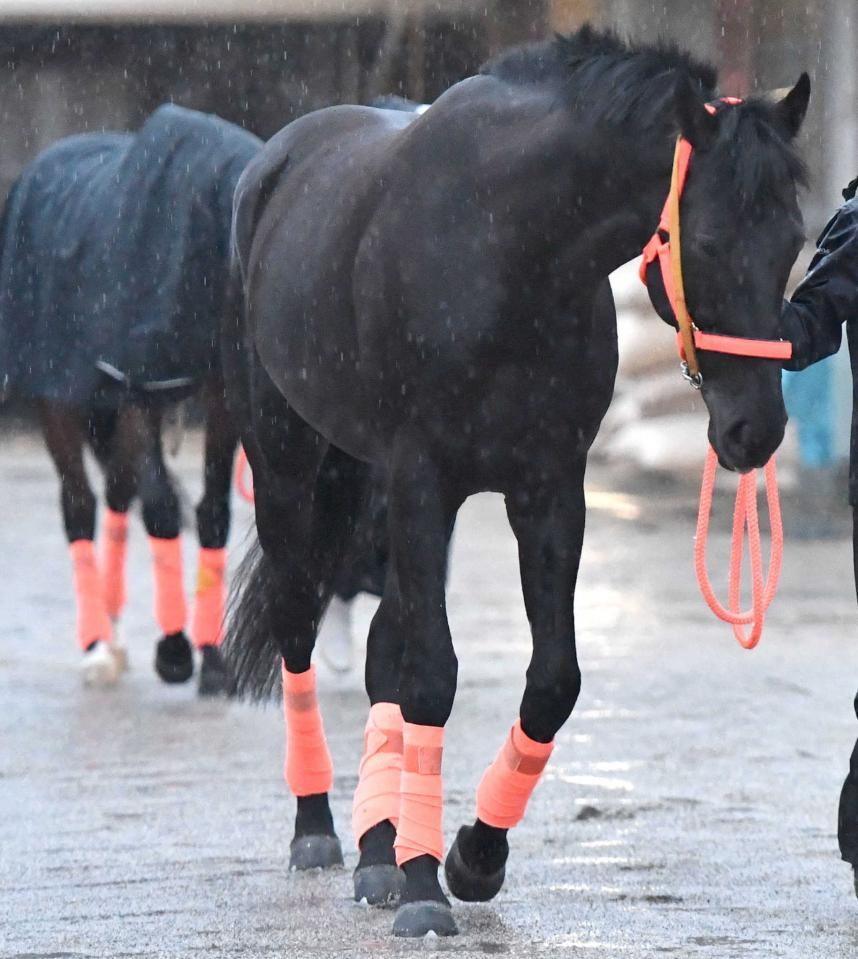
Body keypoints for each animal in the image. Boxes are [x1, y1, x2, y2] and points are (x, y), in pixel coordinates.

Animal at [0, 104, 261, 693]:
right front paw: (175, 653)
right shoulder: (140, 389)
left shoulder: (220, 395)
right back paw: (96, 647)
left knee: (119, 494)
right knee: (80, 505)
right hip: (60, 399)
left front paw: (212, 660)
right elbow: (161, 508)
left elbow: (212, 511)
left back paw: (114, 639)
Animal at [223, 27, 810, 936]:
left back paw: (377, 850)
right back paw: (319, 828)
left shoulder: (547, 486)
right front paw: (426, 888)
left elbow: (551, 679)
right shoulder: (423, 477)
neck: (506, 242)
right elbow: (432, 672)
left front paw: (472, 855)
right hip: (288, 457)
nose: (757, 429)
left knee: (385, 640)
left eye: (790, 241)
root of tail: (273, 160)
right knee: (297, 621)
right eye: (707, 241)